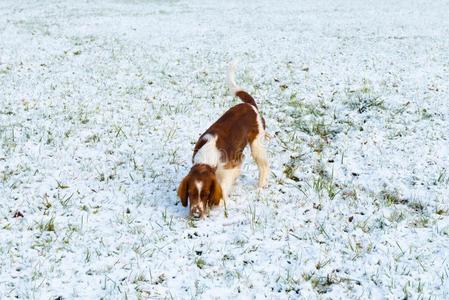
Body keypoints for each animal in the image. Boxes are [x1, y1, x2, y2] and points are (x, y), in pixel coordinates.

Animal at [176, 63, 268, 218]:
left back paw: (261, 185)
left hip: (257, 143)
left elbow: (223, 189)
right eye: (190, 193)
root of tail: (250, 105)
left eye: (206, 194)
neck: (206, 158)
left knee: (263, 164)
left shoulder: (231, 166)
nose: (196, 215)